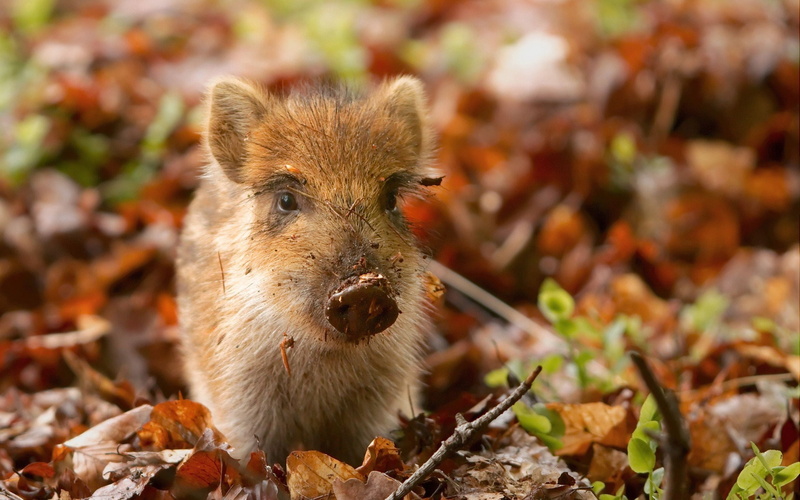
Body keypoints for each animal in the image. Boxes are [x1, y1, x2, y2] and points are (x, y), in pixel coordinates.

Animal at [177, 76, 438, 465]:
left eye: (390, 199)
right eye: (286, 199)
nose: (362, 289)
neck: (322, 363)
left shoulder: (380, 395)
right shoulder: (238, 393)